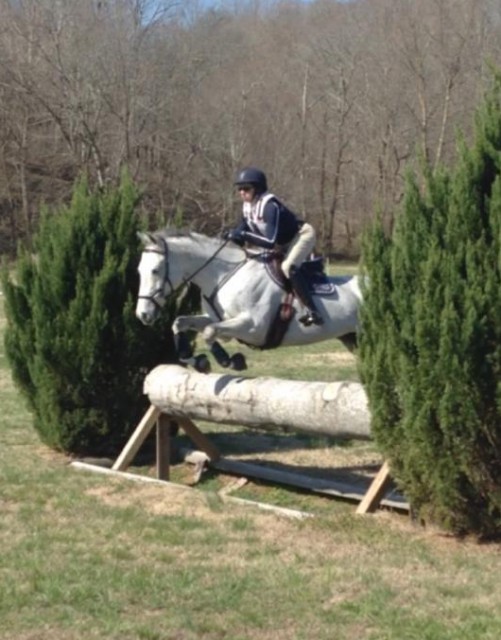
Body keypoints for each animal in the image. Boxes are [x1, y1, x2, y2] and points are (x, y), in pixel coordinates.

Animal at [136, 229, 364, 370]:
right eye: (139, 271)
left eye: (155, 270)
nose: (143, 314)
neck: (223, 274)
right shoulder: (219, 319)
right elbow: (180, 322)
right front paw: (198, 361)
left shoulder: (254, 327)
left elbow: (209, 332)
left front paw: (228, 360)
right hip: (352, 338)